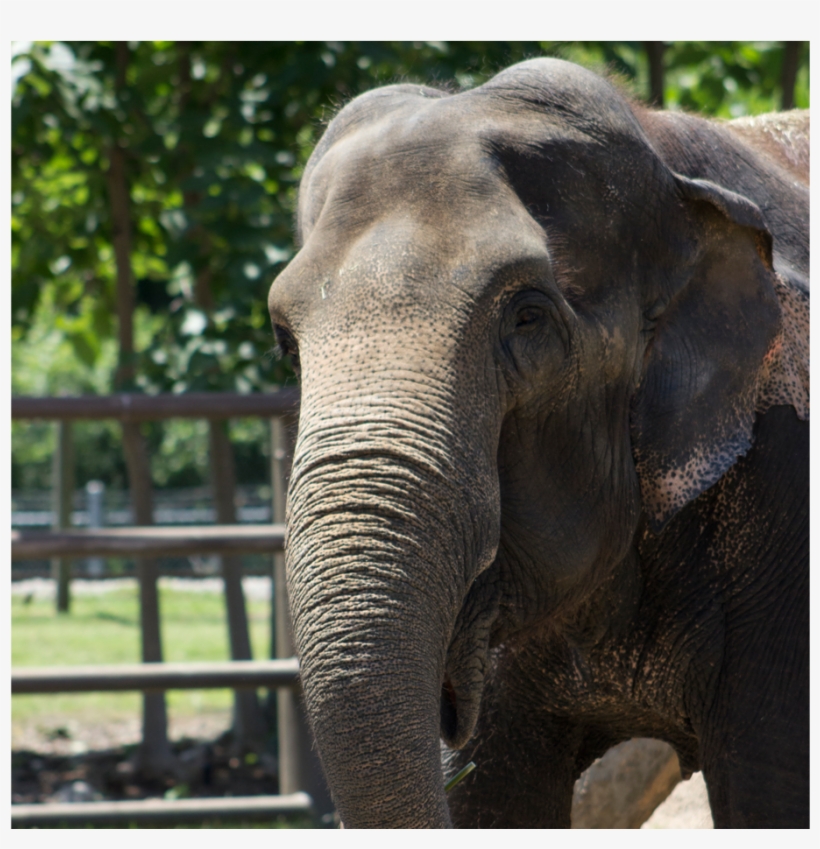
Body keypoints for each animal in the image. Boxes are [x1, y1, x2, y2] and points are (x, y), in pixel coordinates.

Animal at [267, 58, 809, 828]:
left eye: (527, 317)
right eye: (285, 341)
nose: (447, 709)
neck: (664, 154)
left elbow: (772, 783)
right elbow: (493, 798)